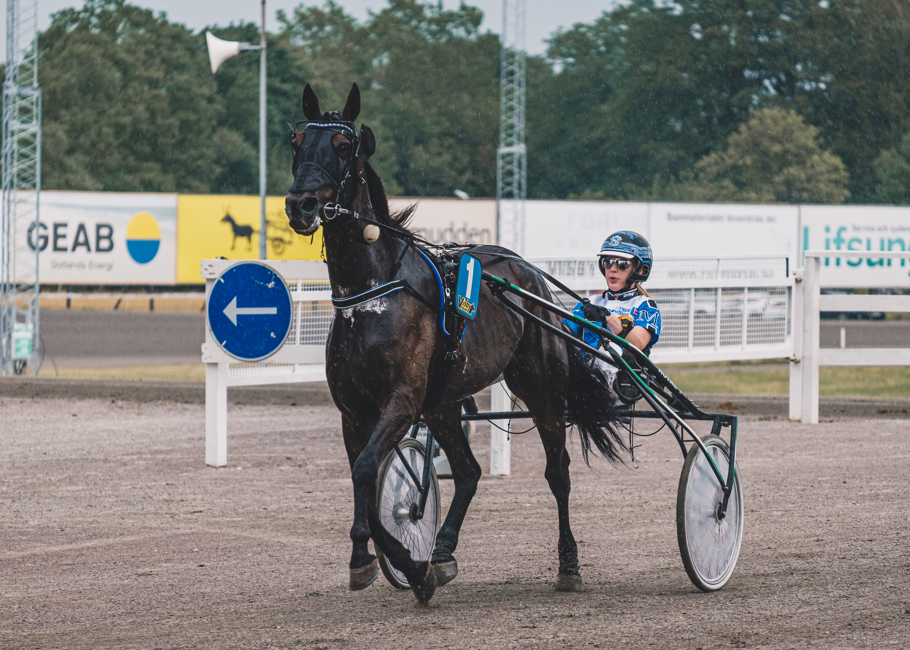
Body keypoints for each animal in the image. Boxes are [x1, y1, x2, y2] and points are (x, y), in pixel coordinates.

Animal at [286, 82, 628, 604]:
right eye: (297, 141)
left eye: (343, 146)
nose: (301, 205)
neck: (371, 295)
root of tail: (527, 273)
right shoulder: (355, 411)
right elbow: (365, 477)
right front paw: (407, 565)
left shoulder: (402, 401)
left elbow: (366, 471)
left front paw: (380, 560)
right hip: (443, 404)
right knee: (467, 472)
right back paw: (443, 550)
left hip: (541, 388)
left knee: (558, 472)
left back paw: (569, 563)